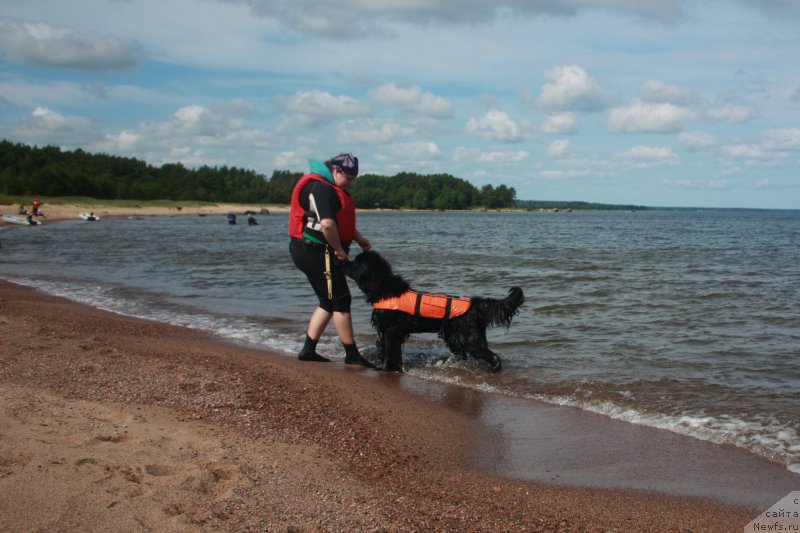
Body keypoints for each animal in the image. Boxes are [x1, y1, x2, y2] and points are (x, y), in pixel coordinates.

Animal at [346, 250, 524, 372]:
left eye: (355, 262)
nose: (343, 261)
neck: (381, 285)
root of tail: (475, 303)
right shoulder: (387, 331)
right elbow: (386, 349)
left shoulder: (391, 331)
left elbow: (390, 352)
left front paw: (388, 369)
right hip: (454, 338)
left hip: (471, 339)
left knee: (493, 356)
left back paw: (494, 369)